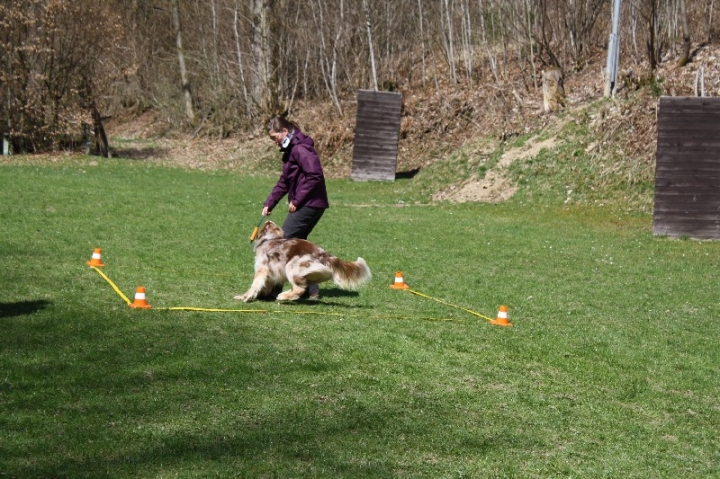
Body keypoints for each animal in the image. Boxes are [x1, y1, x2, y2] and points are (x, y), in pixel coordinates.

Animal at [235, 219, 372, 302]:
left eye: (266, 224)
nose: (268, 219)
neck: (269, 239)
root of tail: (323, 253)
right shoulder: (271, 273)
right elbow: (265, 285)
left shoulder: (262, 269)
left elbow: (255, 285)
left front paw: (246, 296)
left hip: (291, 266)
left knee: (299, 289)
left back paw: (283, 296)